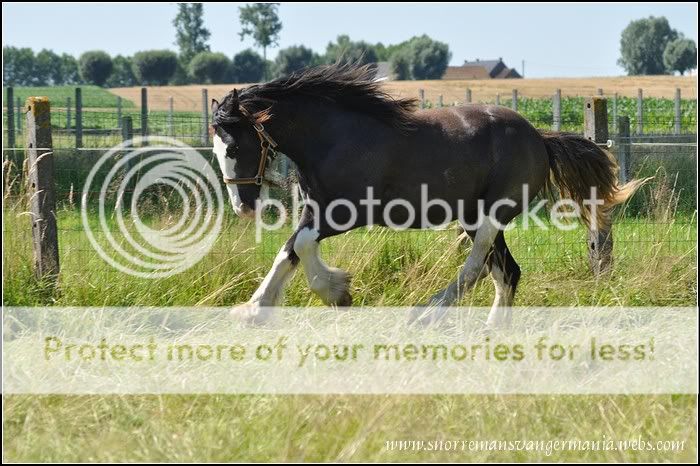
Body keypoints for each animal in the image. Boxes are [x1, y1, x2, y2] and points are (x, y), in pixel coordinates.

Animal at [211, 63, 644, 326]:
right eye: (216, 148)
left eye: (234, 147)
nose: (242, 207)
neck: (334, 138)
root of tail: (540, 137)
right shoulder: (316, 211)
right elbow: (290, 249)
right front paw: (254, 309)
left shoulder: (347, 213)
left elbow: (300, 246)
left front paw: (337, 291)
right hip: (474, 216)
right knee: (507, 271)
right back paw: (493, 328)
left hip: (491, 213)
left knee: (478, 264)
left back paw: (429, 311)